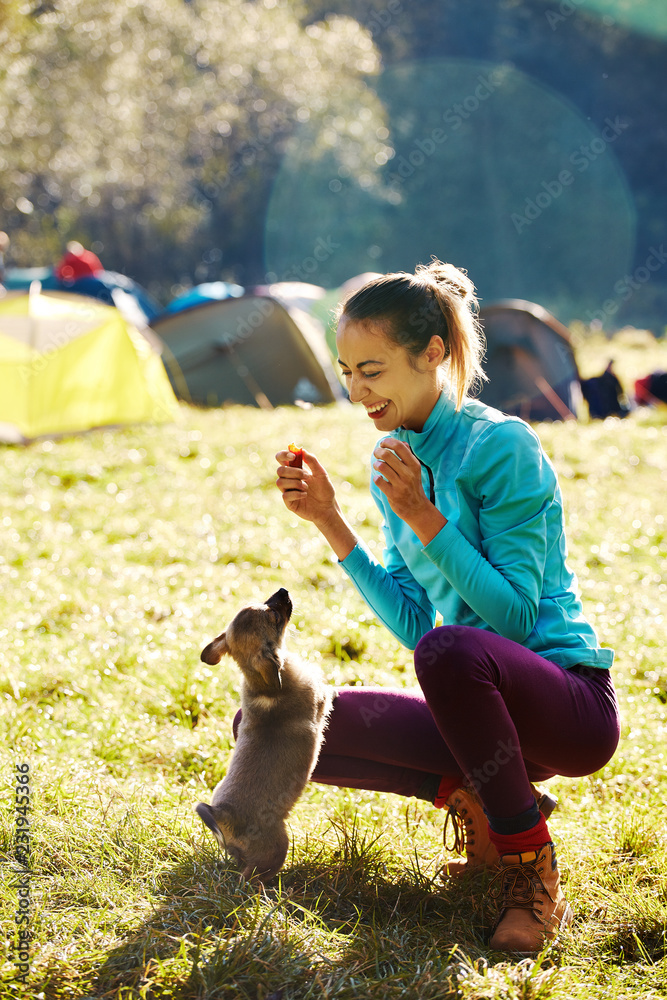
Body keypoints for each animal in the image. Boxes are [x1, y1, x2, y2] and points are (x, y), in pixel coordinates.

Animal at [197, 588, 334, 880]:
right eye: (274, 616)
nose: (283, 591)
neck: (260, 682)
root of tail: (222, 815)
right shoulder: (320, 701)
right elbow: (327, 693)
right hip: (277, 847)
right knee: (251, 878)